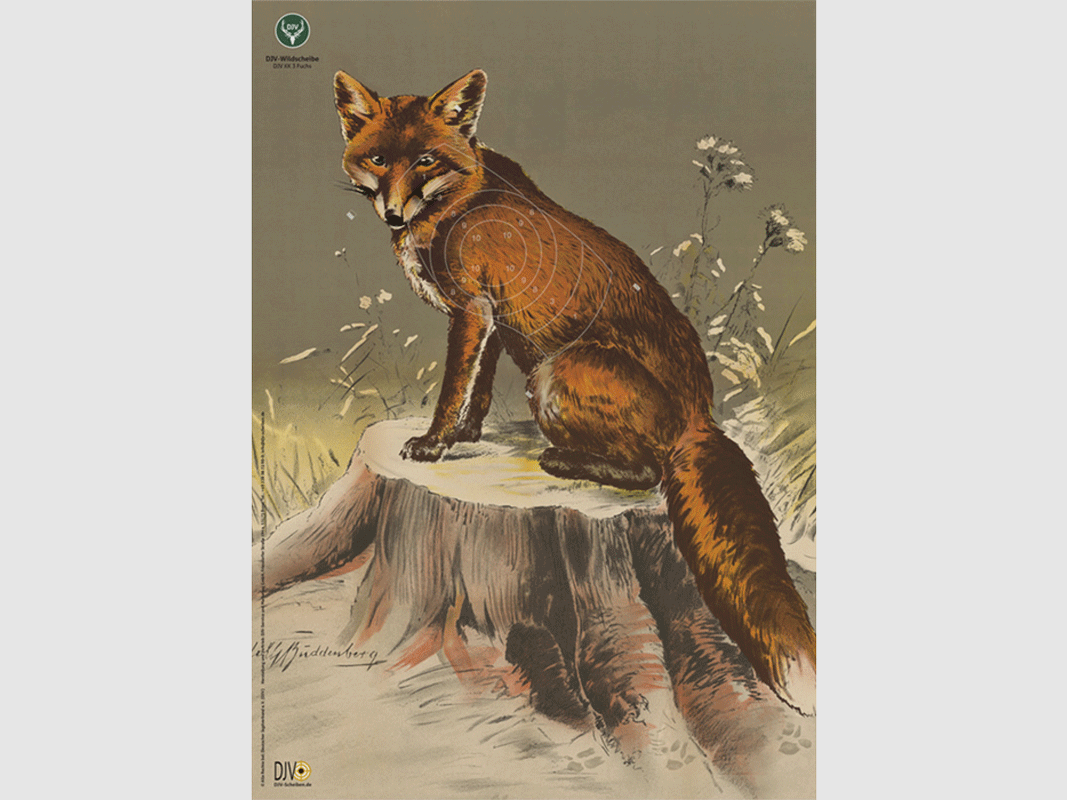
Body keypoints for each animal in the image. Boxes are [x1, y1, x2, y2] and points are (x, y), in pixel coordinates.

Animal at [333, 68, 816, 715]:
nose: (391, 213)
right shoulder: (492, 322)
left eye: (427, 160)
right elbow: (477, 392)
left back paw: (565, 460)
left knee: (648, 471)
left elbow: (453, 387)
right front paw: (466, 437)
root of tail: (701, 414)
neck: (461, 197)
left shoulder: (472, 311)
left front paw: (434, 444)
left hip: (552, 376)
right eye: (379, 159)